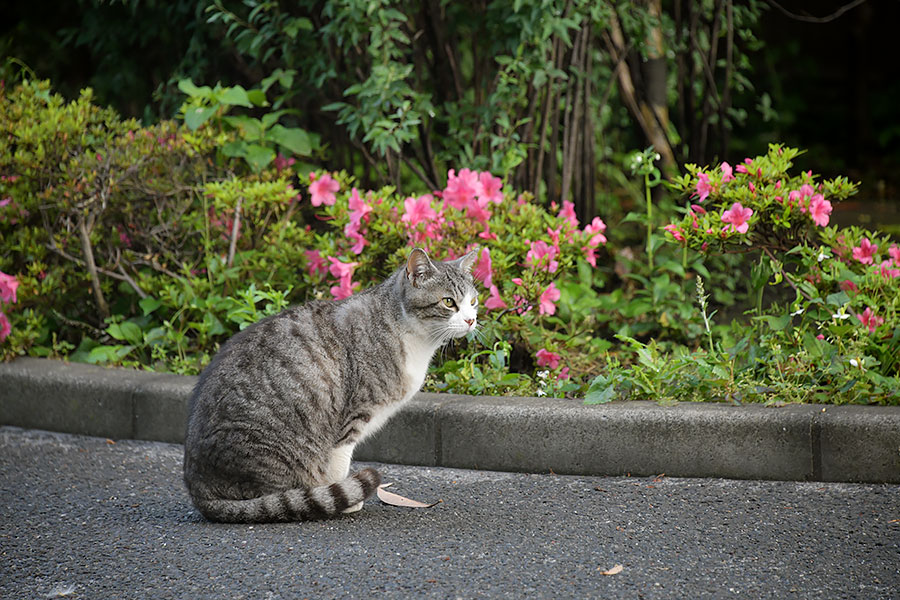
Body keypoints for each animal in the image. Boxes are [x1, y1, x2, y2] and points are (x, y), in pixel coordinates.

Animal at [182, 246, 478, 524]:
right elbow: (339, 463)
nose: (471, 320)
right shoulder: (353, 417)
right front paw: (343, 498)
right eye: (449, 302)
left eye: (473, 301)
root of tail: (198, 490)